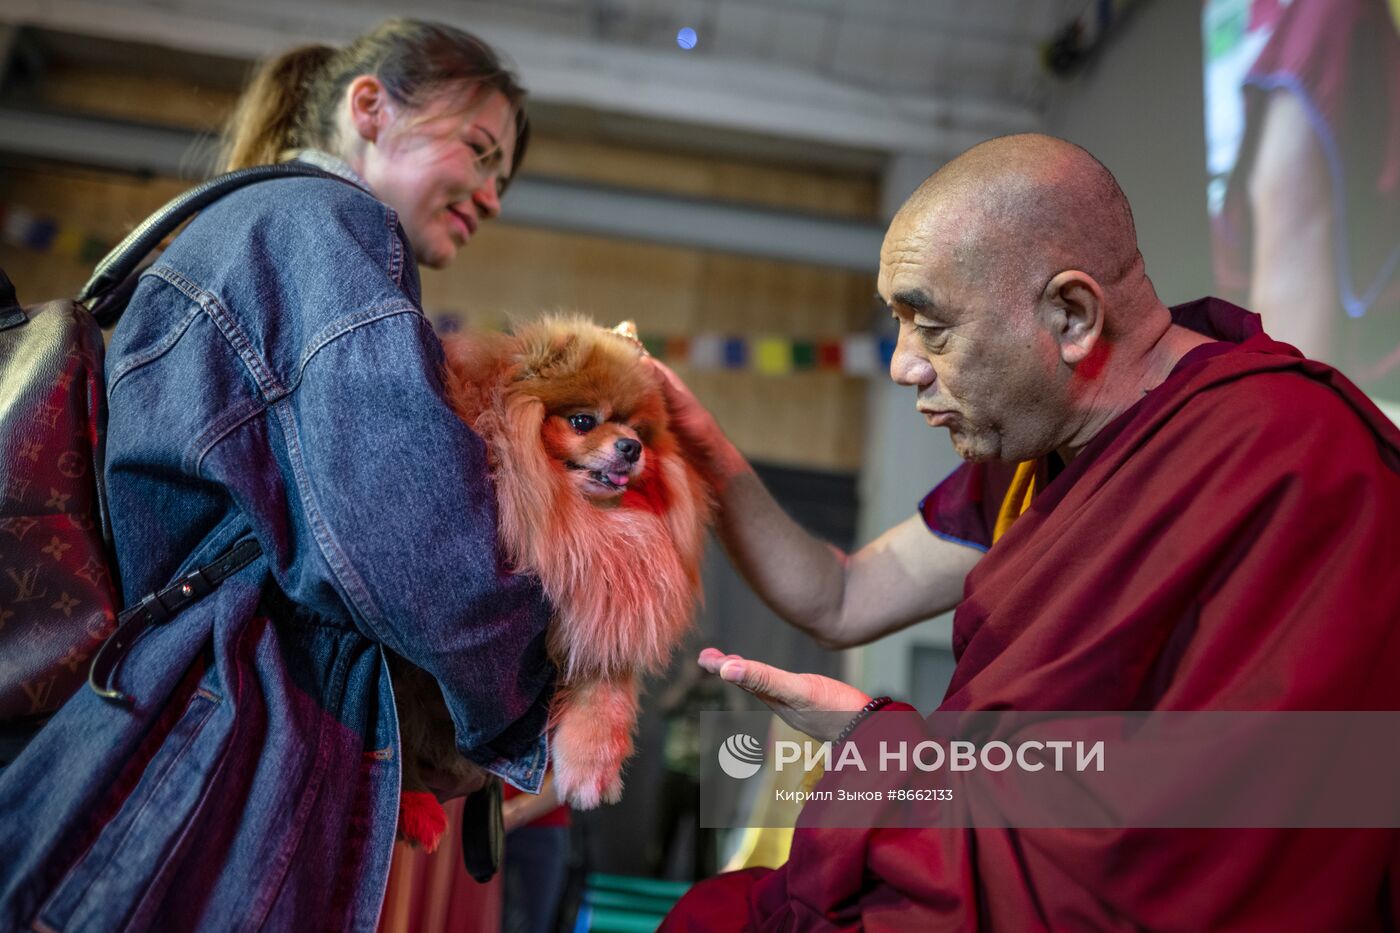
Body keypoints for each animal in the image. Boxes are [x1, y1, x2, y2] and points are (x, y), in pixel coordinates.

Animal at [392, 313, 711, 851]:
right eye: (583, 421)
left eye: (637, 430)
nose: (632, 447)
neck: (574, 520)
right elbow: (391, 720)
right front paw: (412, 802)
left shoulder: (595, 609)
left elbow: (606, 691)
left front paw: (591, 769)